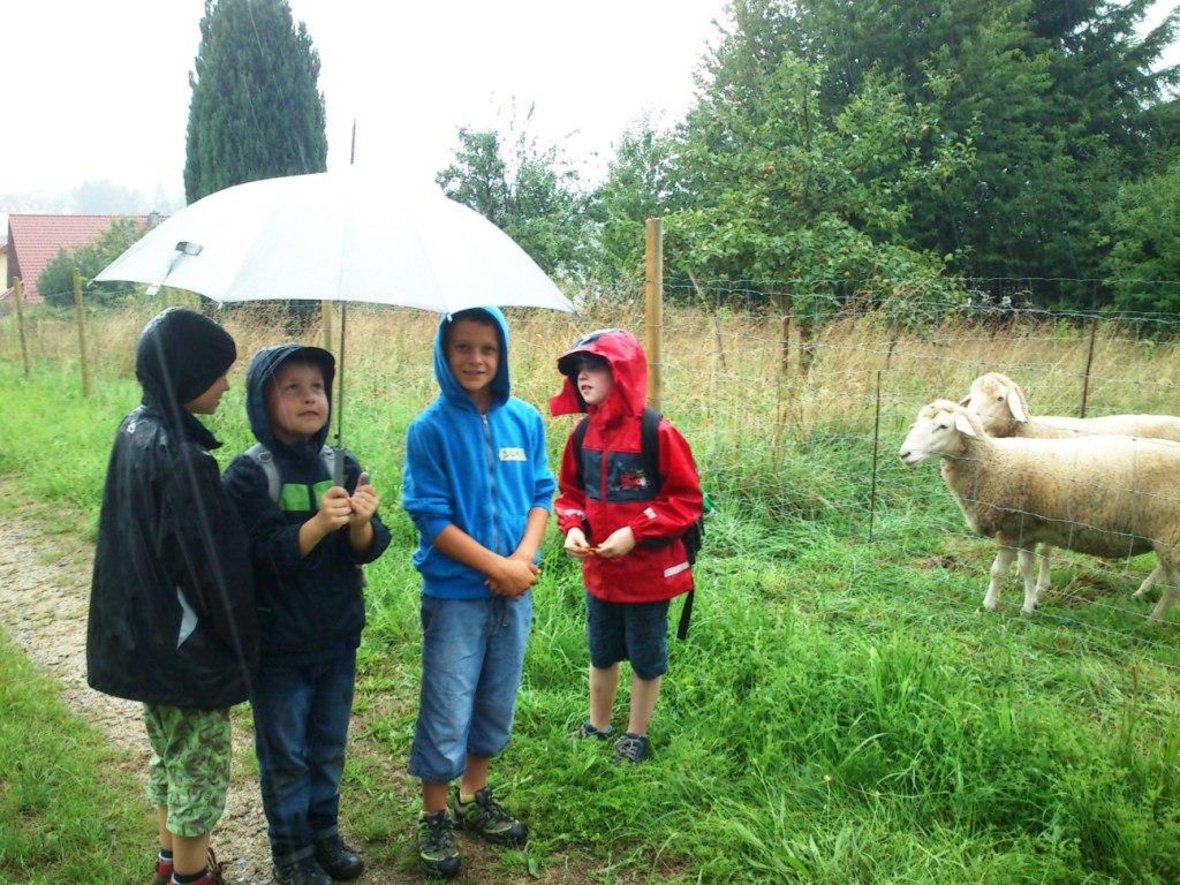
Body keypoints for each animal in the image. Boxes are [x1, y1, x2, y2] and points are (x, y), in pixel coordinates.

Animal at [898, 399, 1180, 623]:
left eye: (943, 426)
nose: (904, 454)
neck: (991, 461)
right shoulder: (1028, 530)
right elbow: (1026, 568)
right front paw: (1029, 606)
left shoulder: (1011, 527)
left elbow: (997, 570)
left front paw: (988, 605)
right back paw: (1143, 595)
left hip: (1170, 537)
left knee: (1173, 588)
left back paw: (1152, 621)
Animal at [960, 371, 1180, 601]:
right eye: (972, 395)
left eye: (1000, 398)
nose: (971, 419)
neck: (1031, 430)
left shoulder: (1053, 503)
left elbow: (1044, 550)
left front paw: (1041, 585)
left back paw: (1143, 590)